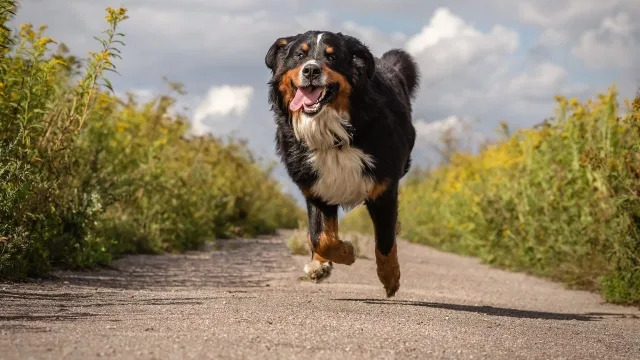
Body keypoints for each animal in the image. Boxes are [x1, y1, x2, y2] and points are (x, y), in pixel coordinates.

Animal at [264, 31, 420, 296]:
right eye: (299, 55)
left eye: (332, 56)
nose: (311, 70)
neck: (331, 132)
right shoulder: (316, 187)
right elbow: (320, 237)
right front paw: (345, 253)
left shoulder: (383, 188)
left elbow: (385, 241)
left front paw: (390, 277)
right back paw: (318, 265)